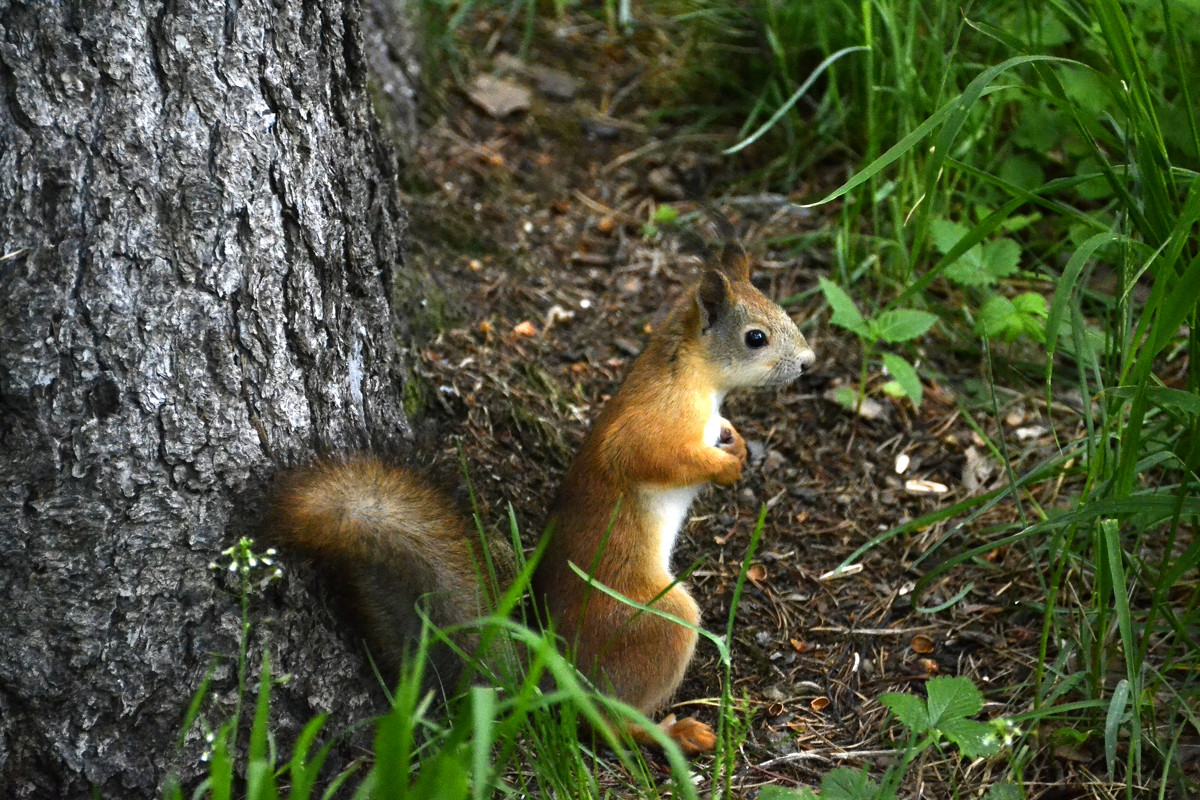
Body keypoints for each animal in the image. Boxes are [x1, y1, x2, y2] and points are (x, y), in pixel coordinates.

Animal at [265, 250, 816, 758]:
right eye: (756, 337)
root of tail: (557, 679)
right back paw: (666, 733)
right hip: (652, 623)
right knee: (604, 719)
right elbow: (653, 456)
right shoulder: (653, 422)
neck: (692, 375)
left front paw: (737, 445)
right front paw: (725, 468)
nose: (809, 363)